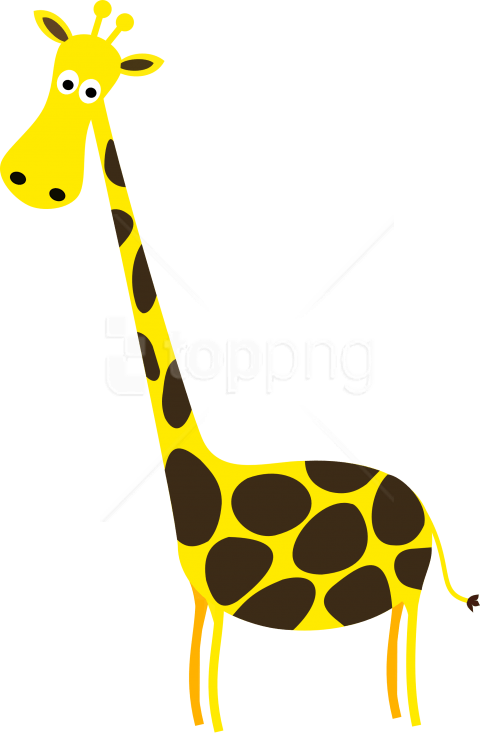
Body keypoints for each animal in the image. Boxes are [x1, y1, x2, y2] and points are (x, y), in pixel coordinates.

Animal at [0, 3, 477, 732]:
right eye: (58, 73)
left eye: (90, 89)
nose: (34, 182)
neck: (196, 475)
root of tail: (431, 516)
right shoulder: (201, 604)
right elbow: (197, 694)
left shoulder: (225, 605)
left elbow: (216, 698)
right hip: (400, 599)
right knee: (398, 673)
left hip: (409, 596)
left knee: (410, 671)